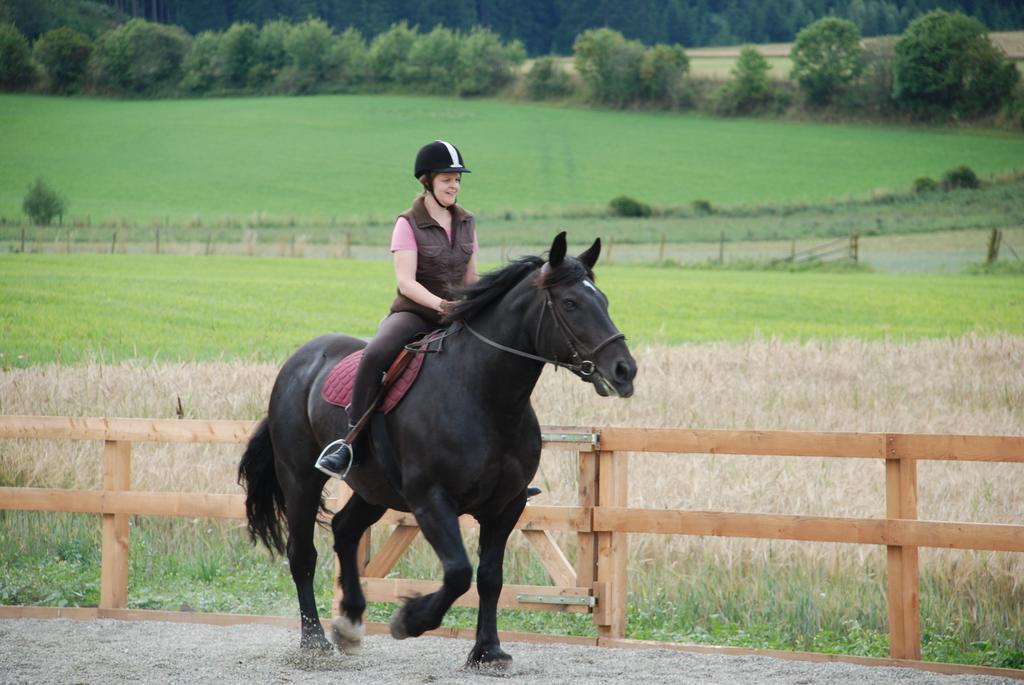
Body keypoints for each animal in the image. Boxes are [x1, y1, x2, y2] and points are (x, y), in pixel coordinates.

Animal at [239, 232, 634, 663]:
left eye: (605, 301)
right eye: (571, 303)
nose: (624, 370)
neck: (484, 396)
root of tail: (299, 360)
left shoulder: (506, 505)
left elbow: (490, 578)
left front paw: (487, 650)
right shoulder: (431, 500)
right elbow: (459, 572)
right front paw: (410, 620)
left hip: (375, 489)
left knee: (344, 530)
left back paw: (350, 624)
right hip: (300, 479)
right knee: (303, 554)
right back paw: (314, 640)